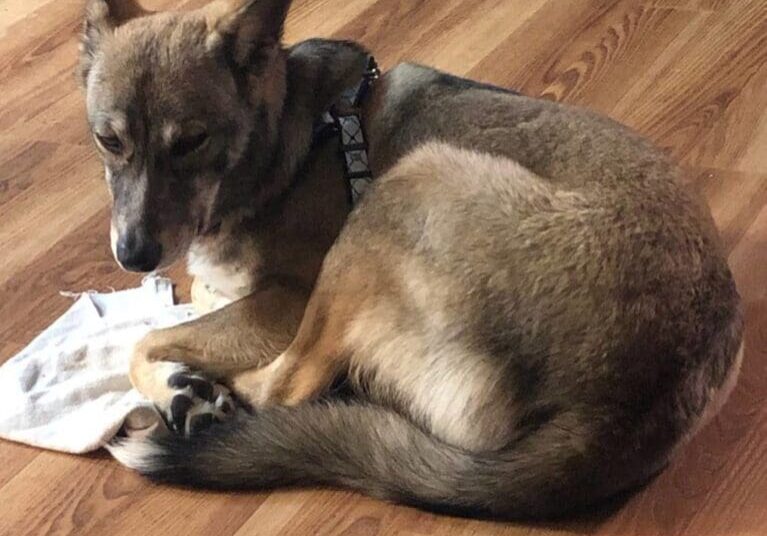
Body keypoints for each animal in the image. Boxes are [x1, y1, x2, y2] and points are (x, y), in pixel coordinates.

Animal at [81, 0, 748, 520]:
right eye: (107, 141)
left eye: (192, 142)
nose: (133, 256)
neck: (287, 136)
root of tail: (618, 415)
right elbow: (195, 299)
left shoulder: (284, 304)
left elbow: (145, 341)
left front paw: (179, 384)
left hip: (406, 185)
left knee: (285, 389)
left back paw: (220, 403)